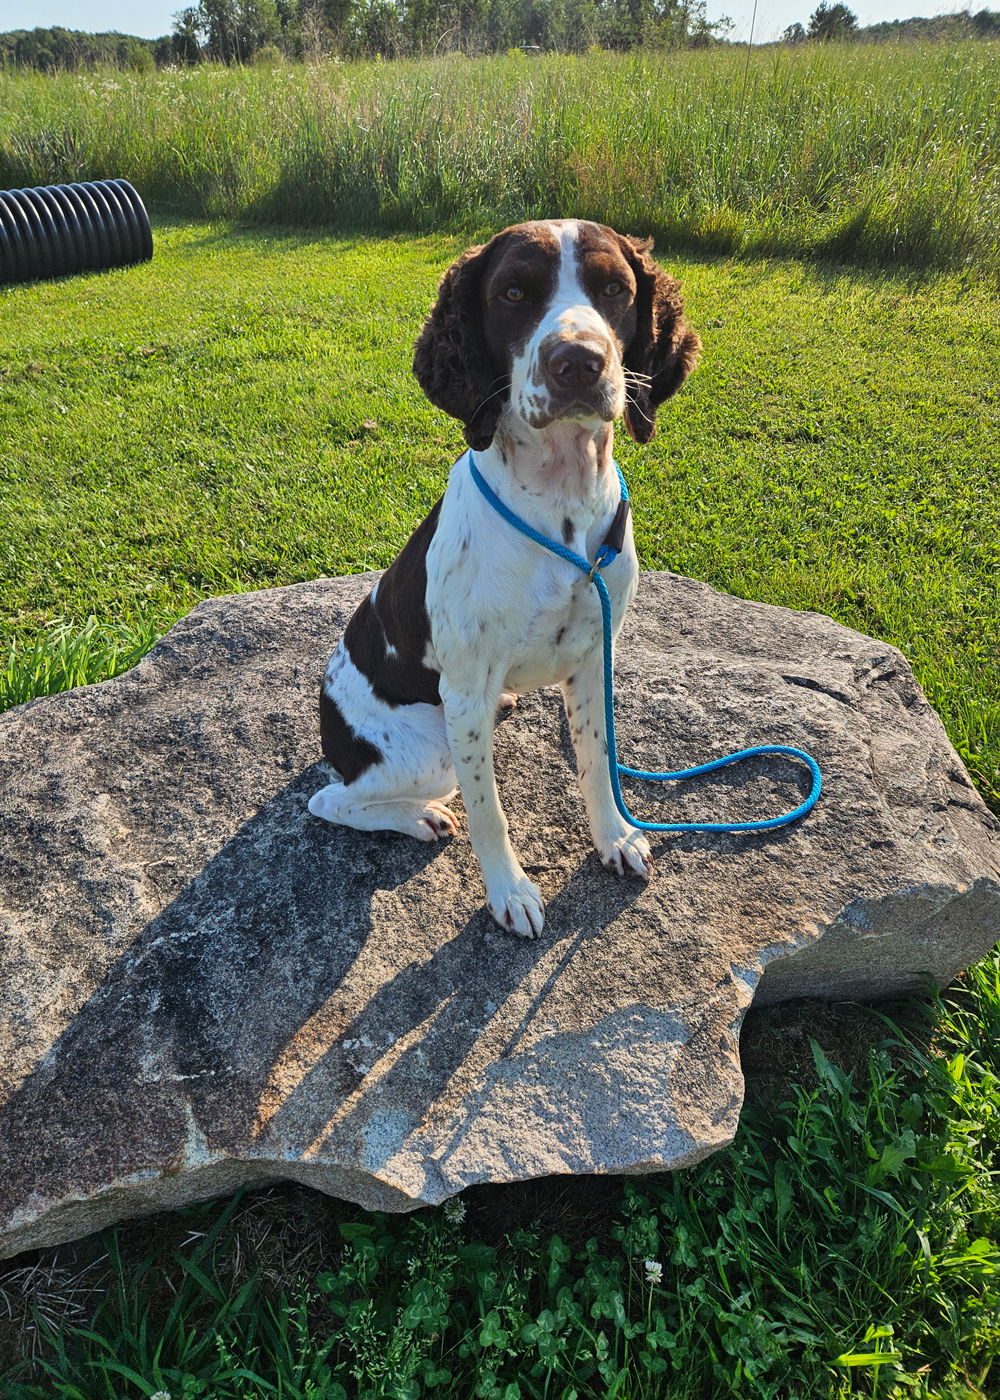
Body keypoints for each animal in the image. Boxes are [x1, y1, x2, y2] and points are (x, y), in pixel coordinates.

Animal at [308, 220, 701, 937]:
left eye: (615, 288)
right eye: (514, 292)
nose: (578, 362)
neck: (562, 508)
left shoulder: (594, 659)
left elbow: (596, 763)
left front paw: (613, 838)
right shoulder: (463, 695)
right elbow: (489, 813)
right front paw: (509, 892)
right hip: (428, 747)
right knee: (333, 800)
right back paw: (418, 815)